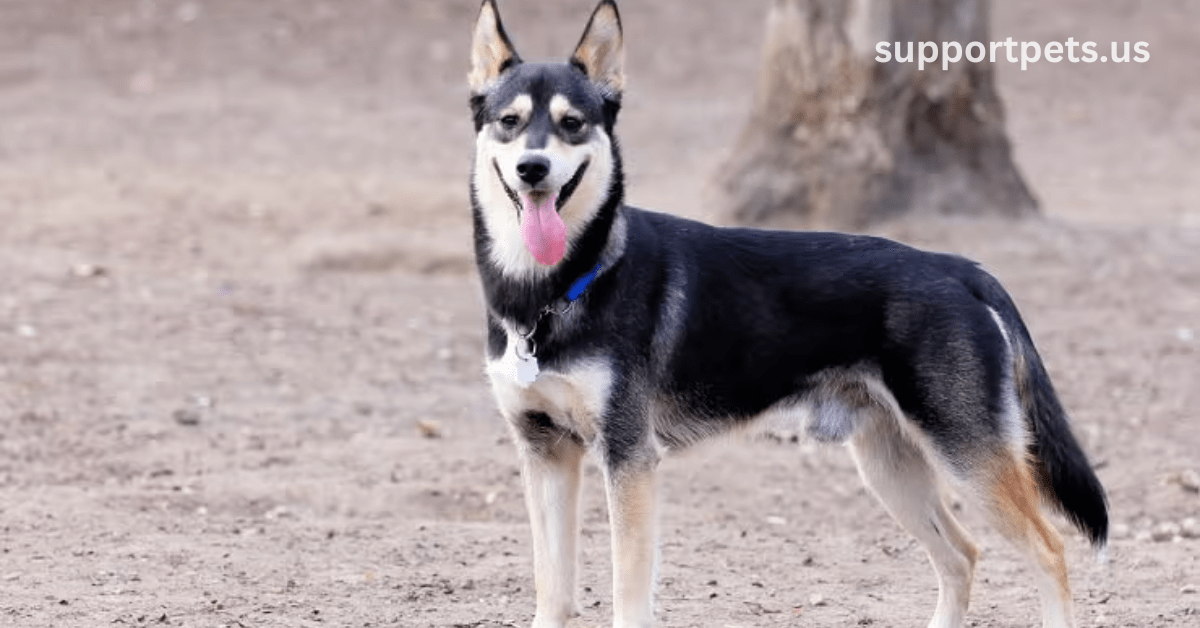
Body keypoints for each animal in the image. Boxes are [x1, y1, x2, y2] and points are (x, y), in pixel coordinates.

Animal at [465, 2, 1104, 624]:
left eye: (572, 124)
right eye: (509, 122)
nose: (532, 168)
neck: (556, 288)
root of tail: (960, 268)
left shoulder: (628, 460)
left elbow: (627, 598)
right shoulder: (545, 453)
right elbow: (552, 591)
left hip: (968, 457)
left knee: (1050, 551)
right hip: (890, 466)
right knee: (962, 556)